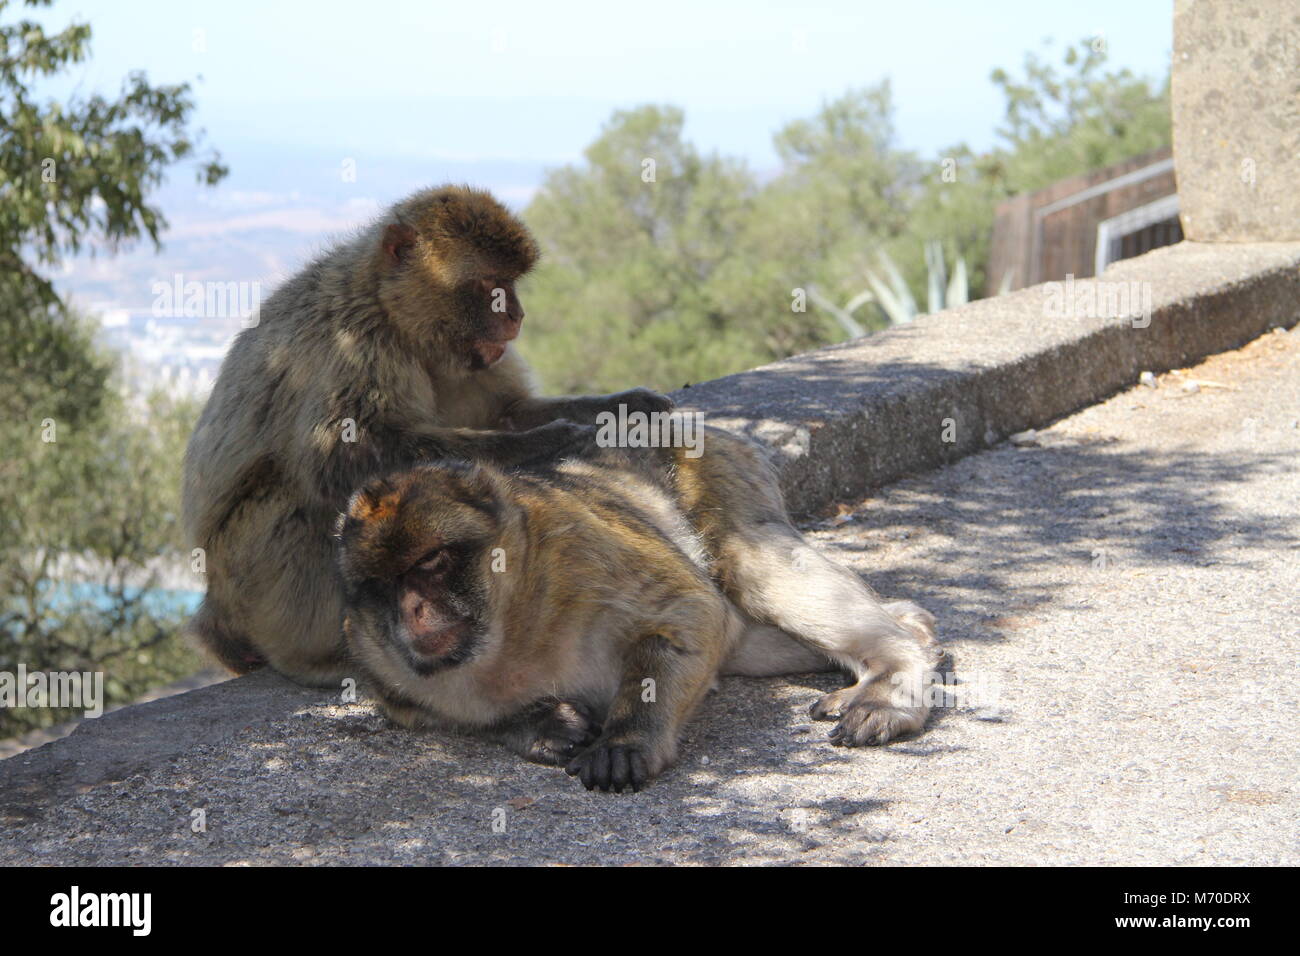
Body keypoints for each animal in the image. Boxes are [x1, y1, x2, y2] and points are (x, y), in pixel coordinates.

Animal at [182, 184, 670, 686]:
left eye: (511, 282)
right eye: (488, 284)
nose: (516, 316)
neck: (391, 313)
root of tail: (216, 608)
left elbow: (509, 411)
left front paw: (623, 404)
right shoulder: (352, 341)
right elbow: (341, 458)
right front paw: (544, 442)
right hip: (249, 577)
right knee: (295, 502)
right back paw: (319, 658)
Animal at [340, 429, 941, 790]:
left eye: (431, 562)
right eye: (380, 584)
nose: (411, 609)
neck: (509, 631)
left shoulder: (579, 546)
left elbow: (693, 611)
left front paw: (627, 740)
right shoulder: (382, 664)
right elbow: (423, 708)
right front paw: (545, 724)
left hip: (720, 480)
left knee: (756, 568)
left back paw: (894, 675)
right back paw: (913, 626)